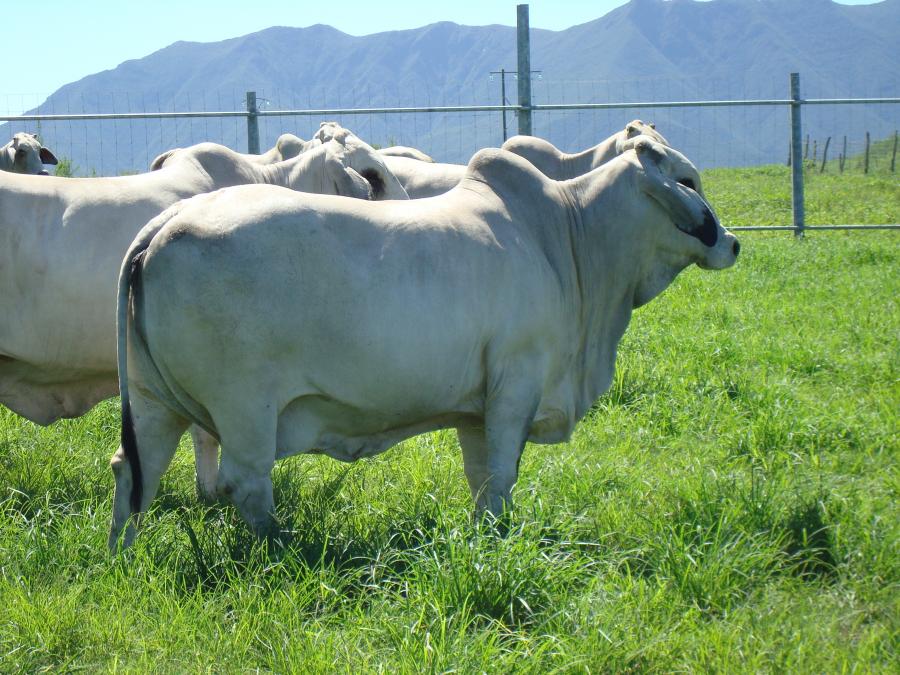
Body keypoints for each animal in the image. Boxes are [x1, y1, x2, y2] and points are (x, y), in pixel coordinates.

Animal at [107, 137, 740, 548]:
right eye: (687, 181)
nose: (731, 243)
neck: (567, 234)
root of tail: (165, 224)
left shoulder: (477, 407)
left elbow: (482, 479)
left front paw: (485, 538)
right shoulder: (517, 383)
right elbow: (503, 476)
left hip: (152, 402)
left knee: (134, 472)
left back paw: (123, 557)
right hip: (244, 408)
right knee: (245, 484)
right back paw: (285, 549)